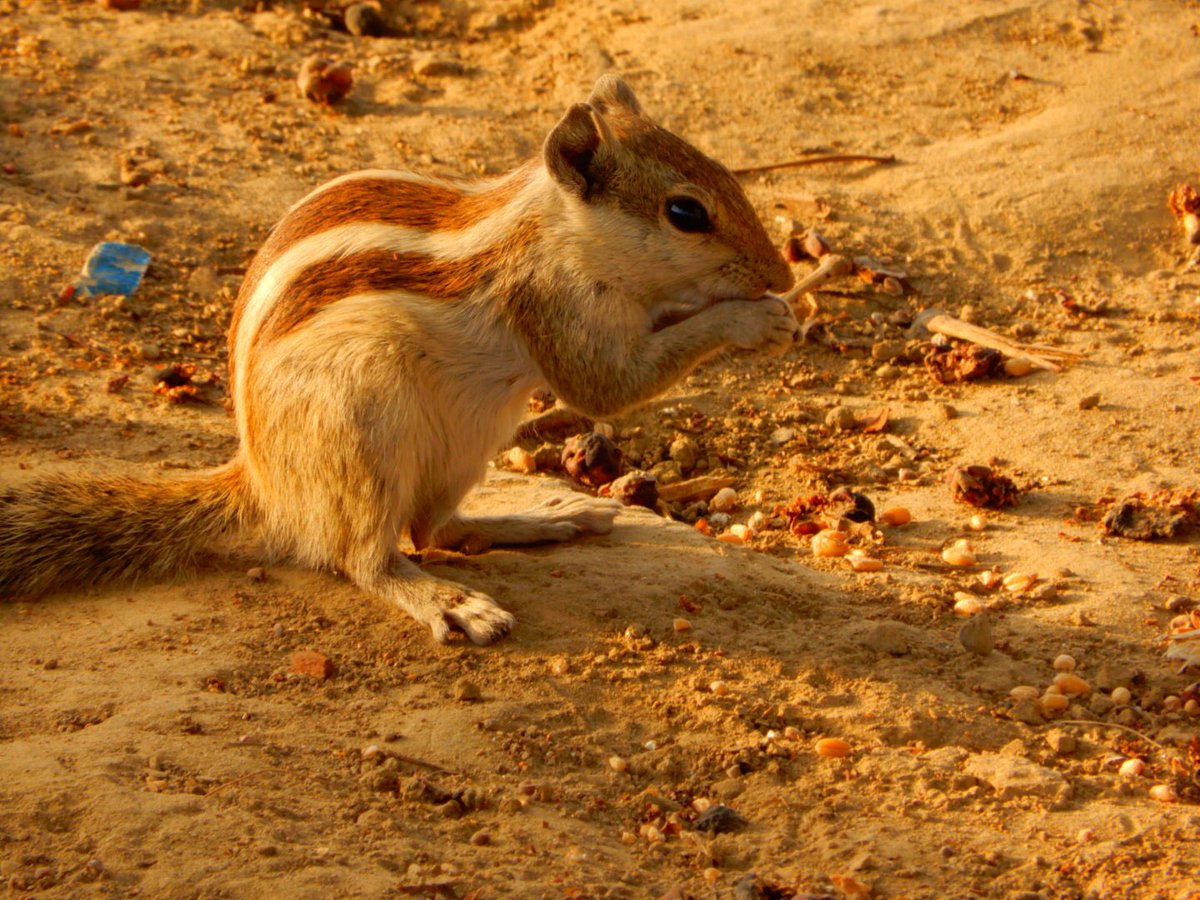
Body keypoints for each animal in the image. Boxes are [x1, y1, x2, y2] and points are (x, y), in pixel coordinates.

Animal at [0, 75, 796, 643]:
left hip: (467, 441)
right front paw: (755, 317)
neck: (555, 230)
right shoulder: (553, 306)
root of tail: (264, 483)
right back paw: (449, 602)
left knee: (439, 529)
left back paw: (548, 516)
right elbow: (608, 387)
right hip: (364, 426)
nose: (782, 274)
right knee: (369, 557)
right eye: (685, 213)